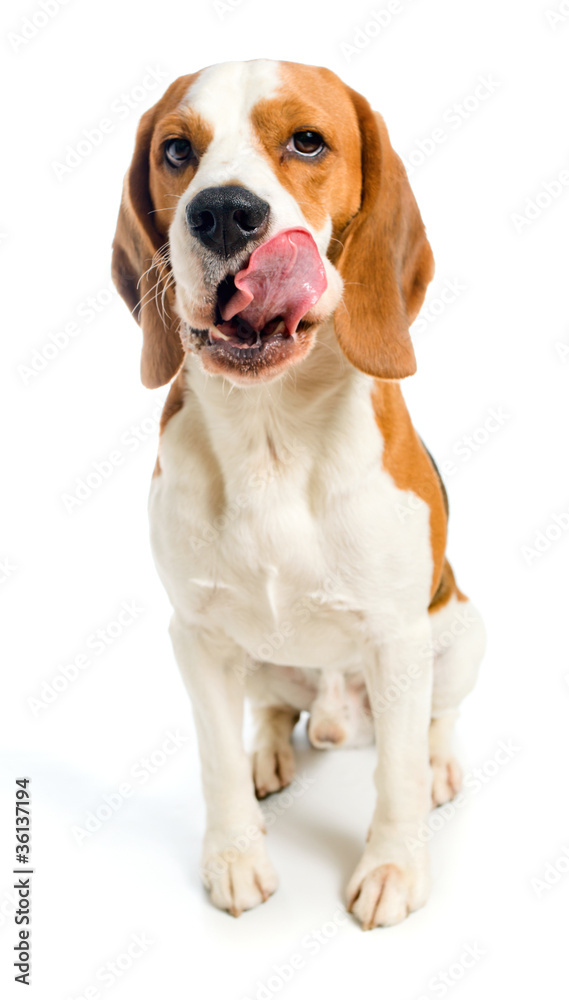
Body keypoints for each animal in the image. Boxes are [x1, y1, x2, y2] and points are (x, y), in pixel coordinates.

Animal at [111, 58, 484, 924]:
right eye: (176, 150)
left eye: (307, 141)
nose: (223, 213)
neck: (270, 434)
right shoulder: (196, 635)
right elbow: (213, 758)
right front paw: (234, 858)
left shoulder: (397, 639)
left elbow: (396, 776)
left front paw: (392, 867)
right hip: (256, 659)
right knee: (278, 710)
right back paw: (270, 756)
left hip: (456, 637)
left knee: (434, 721)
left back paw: (438, 765)